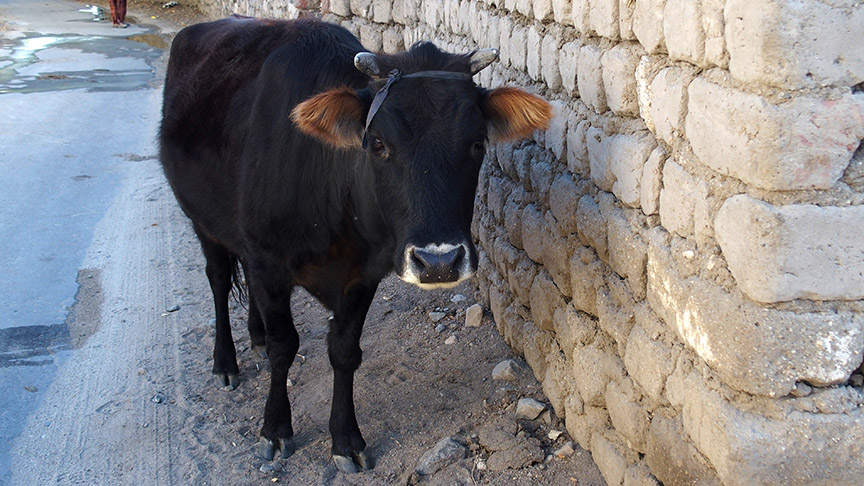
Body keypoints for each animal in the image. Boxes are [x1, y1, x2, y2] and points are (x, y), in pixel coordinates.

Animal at [160, 17, 552, 472]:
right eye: (378, 143)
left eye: (477, 142)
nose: (438, 262)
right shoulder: (269, 262)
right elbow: (283, 346)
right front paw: (275, 429)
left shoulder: (362, 274)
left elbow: (345, 351)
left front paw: (346, 439)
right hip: (201, 220)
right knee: (219, 280)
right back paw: (225, 362)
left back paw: (253, 335)